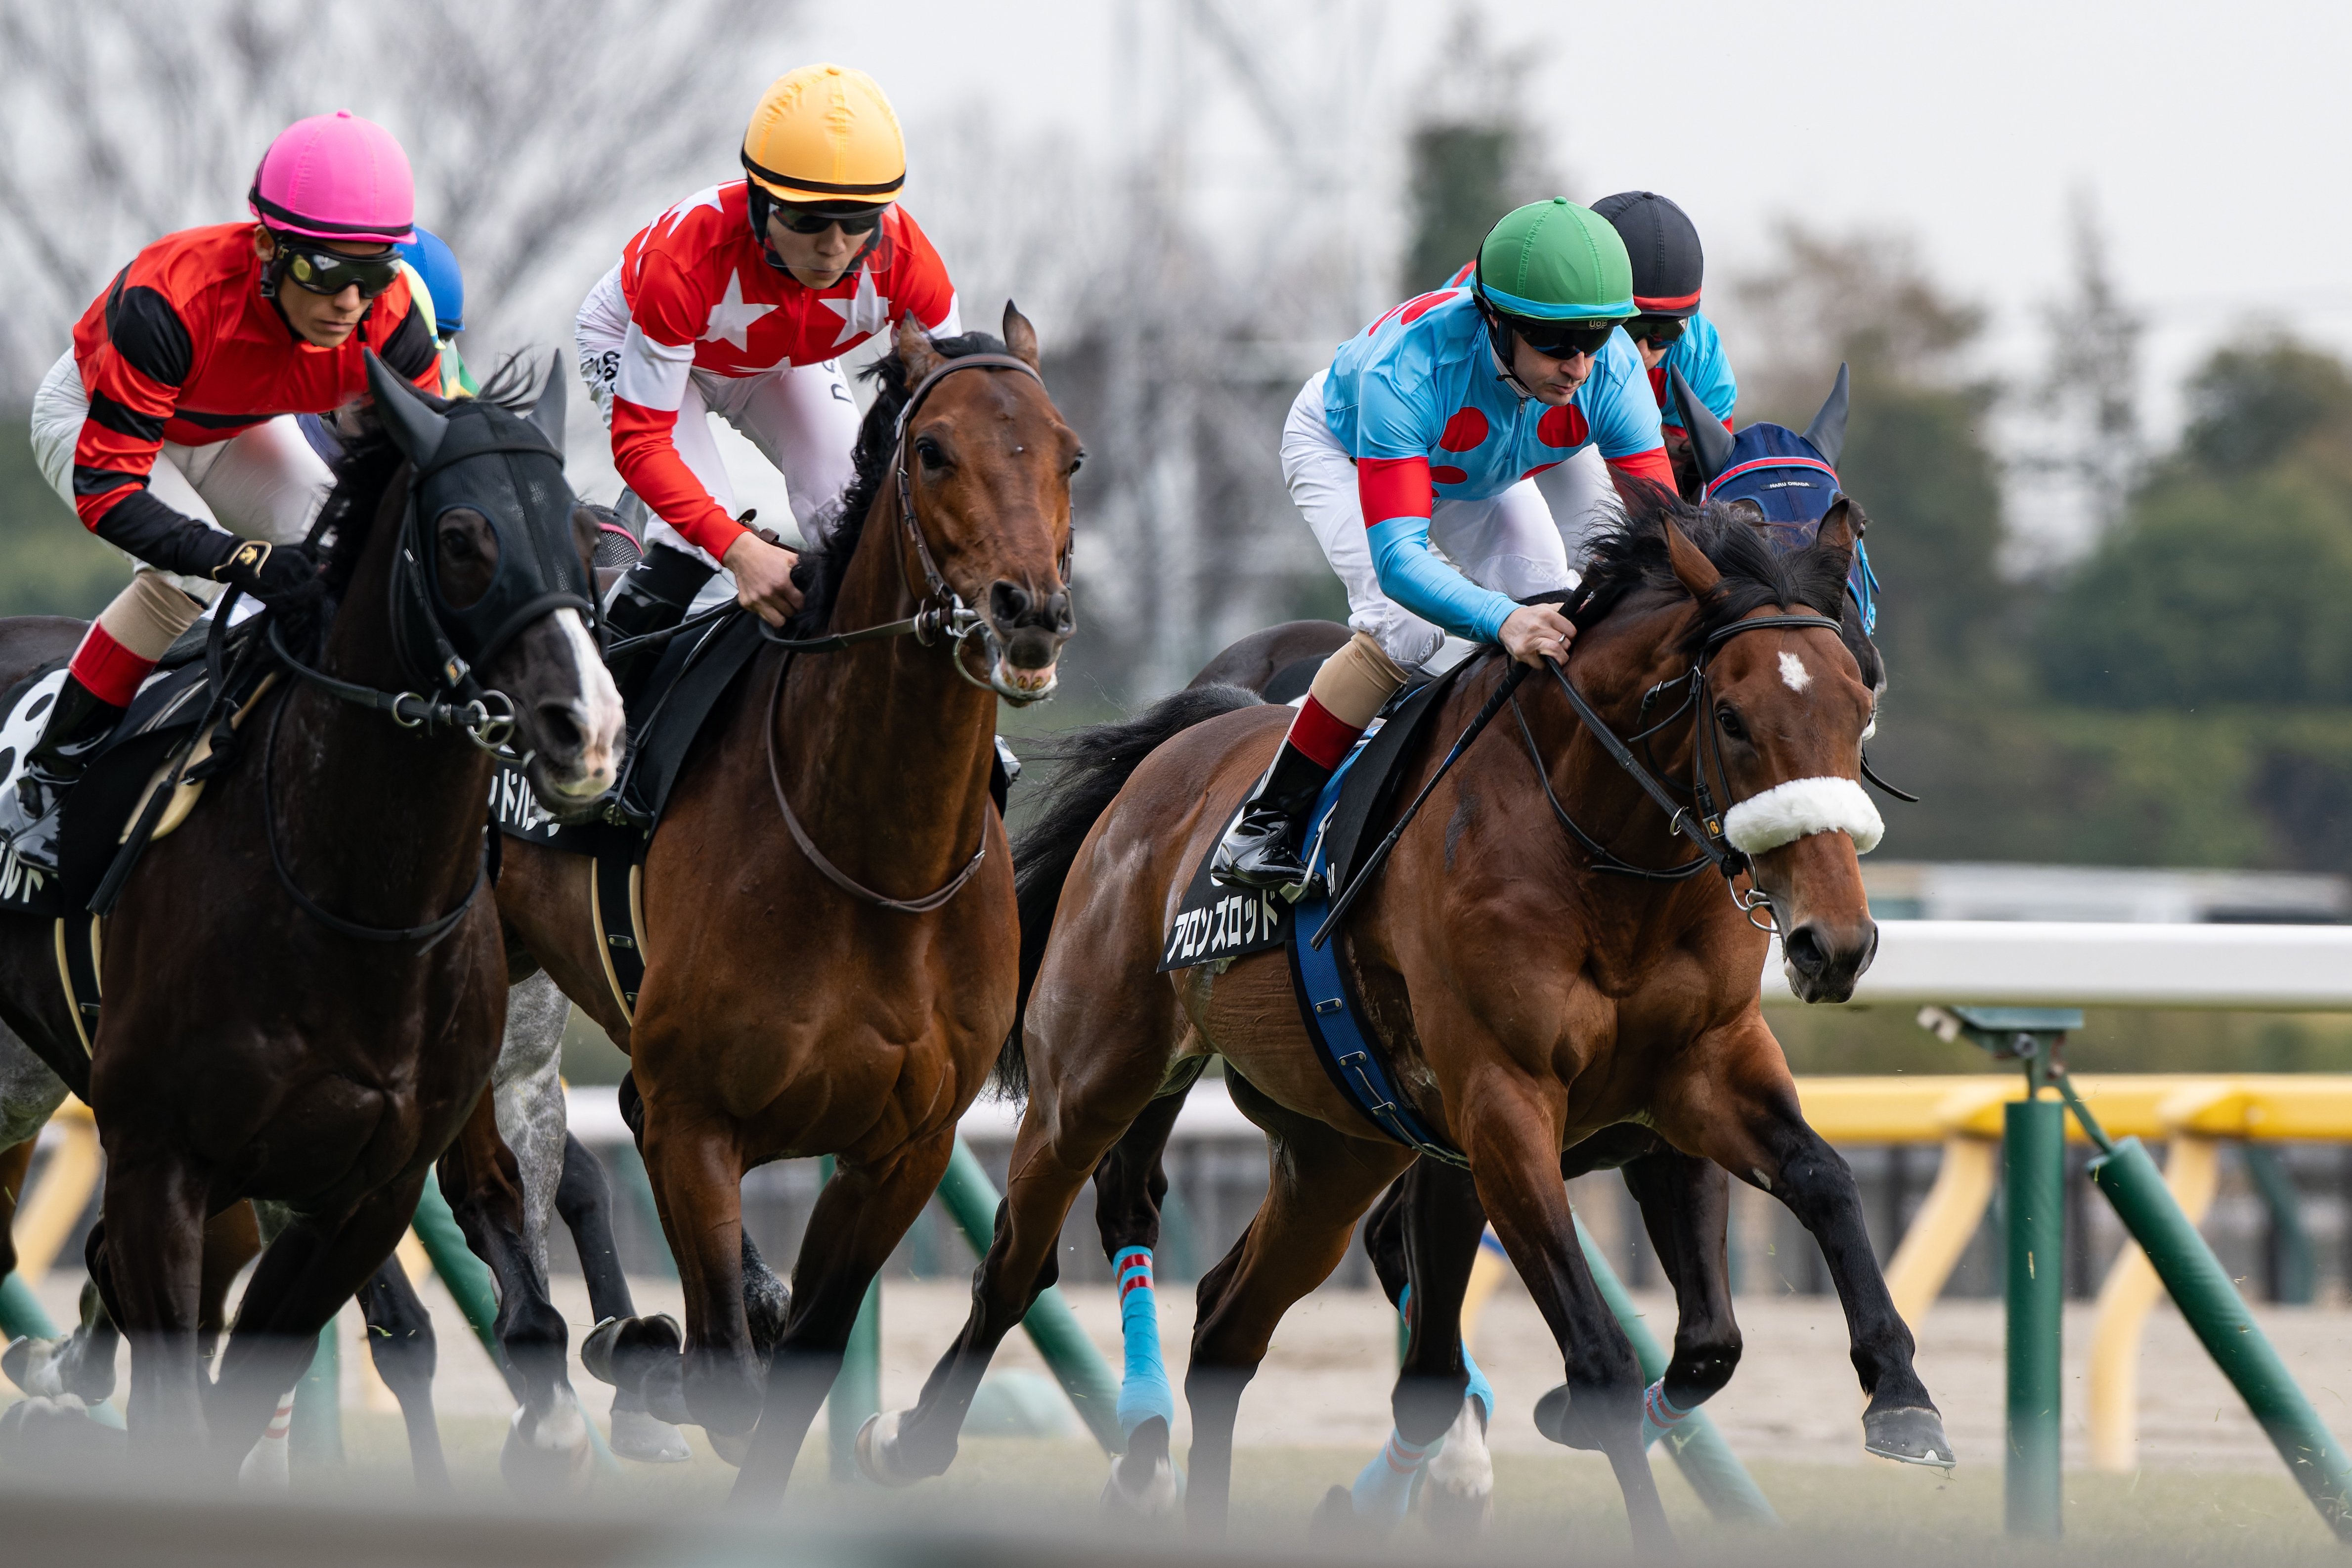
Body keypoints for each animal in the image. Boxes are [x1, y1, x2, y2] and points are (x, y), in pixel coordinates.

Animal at [0, 353, 622, 1470]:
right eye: (460, 536)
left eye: (585, 541)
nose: (587, 732)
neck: (355, 902)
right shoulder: (167, 1159)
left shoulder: (381, 1177)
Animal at [485, 307, 1076, 1505]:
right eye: (933, 450)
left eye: (1069, 454)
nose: (1029, 610)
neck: (874, 862)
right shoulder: (700, 1119)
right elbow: (724, 1365)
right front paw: (653, 1354)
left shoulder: (902, 1148)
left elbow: (801, 1361)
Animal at [855, 486, 1949, 1546]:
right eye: (1729, 716)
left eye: (1860, 705)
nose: (1834, 941)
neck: (1604, 861)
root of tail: (1184, 744)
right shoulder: (1500, 1106)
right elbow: (1593, 1358)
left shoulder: (1693, 1074)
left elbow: (1805, 1205)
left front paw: (1901, 1395)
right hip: (1094, 1078)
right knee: (1021, 1261)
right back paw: (922, 1439)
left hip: (1336, 1153)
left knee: (1227, 1323)